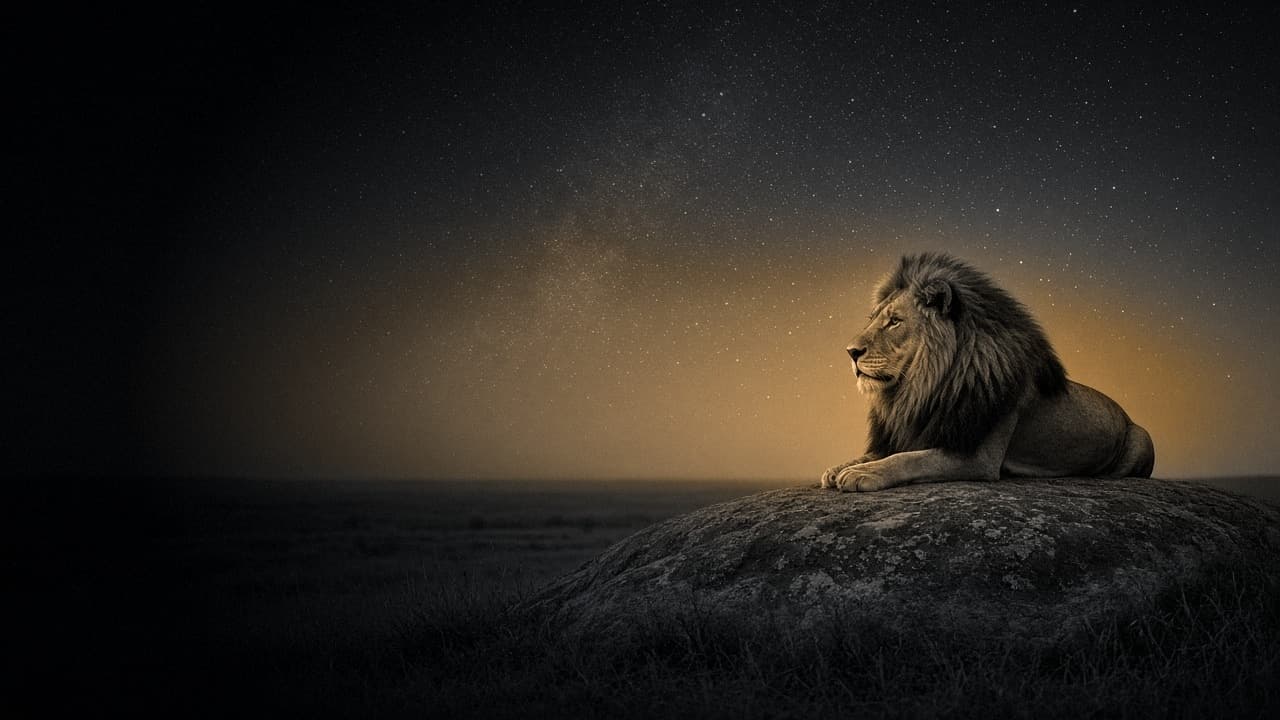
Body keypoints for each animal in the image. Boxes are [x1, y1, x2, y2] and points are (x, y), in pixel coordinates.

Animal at [821, 252, 1154, 492]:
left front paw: (862, 473)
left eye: (894, 321)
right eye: (873, 319)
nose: (850, 351)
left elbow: (908, 460)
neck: (927, 386)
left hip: (1142, 437)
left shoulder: (977, 457)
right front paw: (840, 468)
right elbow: (882, 453)